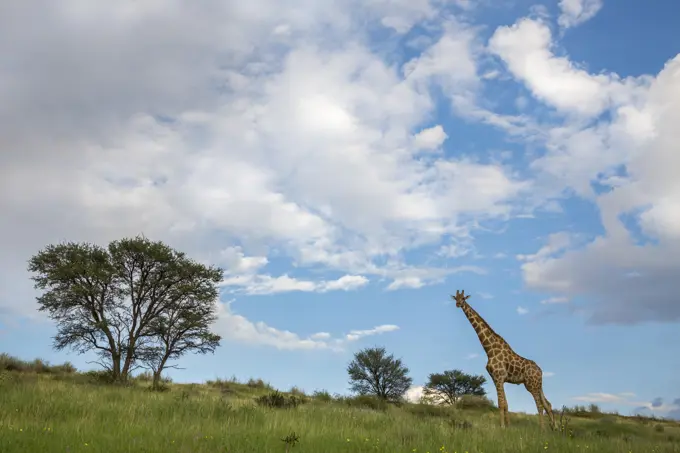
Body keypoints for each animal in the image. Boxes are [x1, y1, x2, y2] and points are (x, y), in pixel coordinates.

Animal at [448, 288, 556, 430]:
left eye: (464, 298)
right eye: (456, 298)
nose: (458, 304)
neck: (489, 349)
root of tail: (540, 371)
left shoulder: (499, 377)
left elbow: (501, 403)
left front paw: (502, 427)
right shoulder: (496, 379)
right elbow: (505, 404)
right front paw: (508, 426)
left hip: (531, 385)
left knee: (539, 405)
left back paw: (542, 429)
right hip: (538, 384)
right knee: (547, 404)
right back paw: (555, 428)